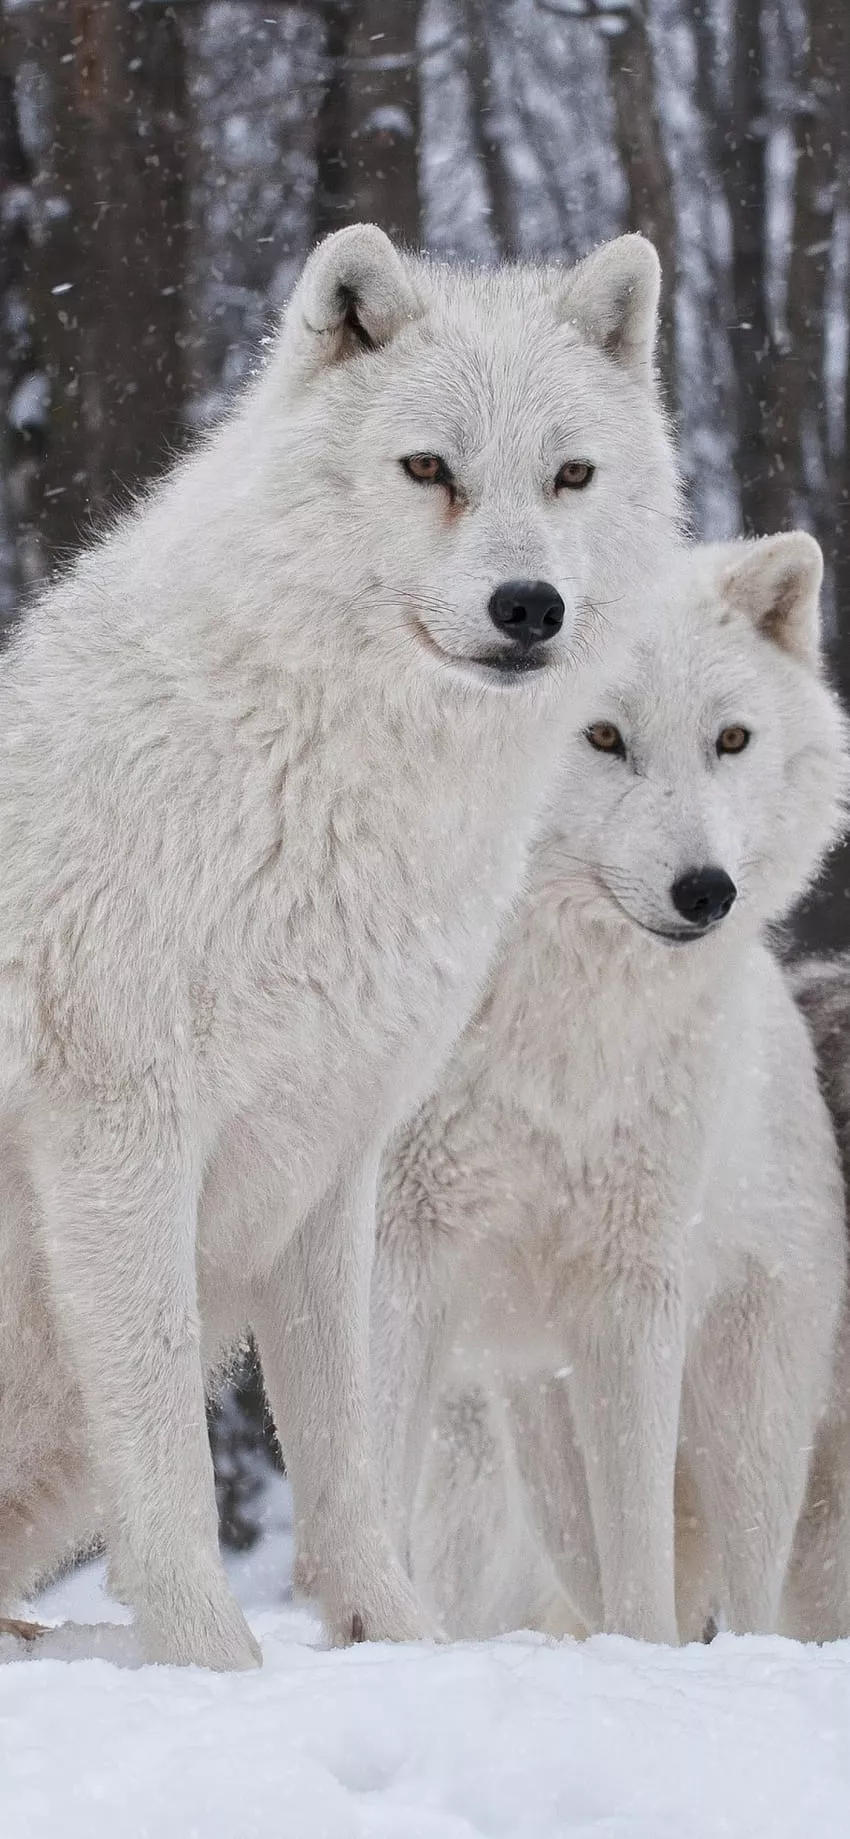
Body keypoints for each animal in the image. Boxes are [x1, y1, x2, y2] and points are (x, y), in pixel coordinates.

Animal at [0, 224, 680, 1668]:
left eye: (569, 474)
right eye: (428, 468)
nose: (528, 604)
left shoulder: (331, 1146)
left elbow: (345, 1438)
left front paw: (396, 1640)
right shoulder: (123, 1128)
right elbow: (169, 1430)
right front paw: (209, 1657)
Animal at [373, 532, 850, 1644]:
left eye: (730, 739)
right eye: (599, 735)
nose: (706, 892)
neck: (550, 1021)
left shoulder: (634, 1289)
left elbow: (641, 1552)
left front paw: (645, 1663)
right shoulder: (398, 1256)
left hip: (750, 1427)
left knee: (749, 1594)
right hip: (536, 1445)